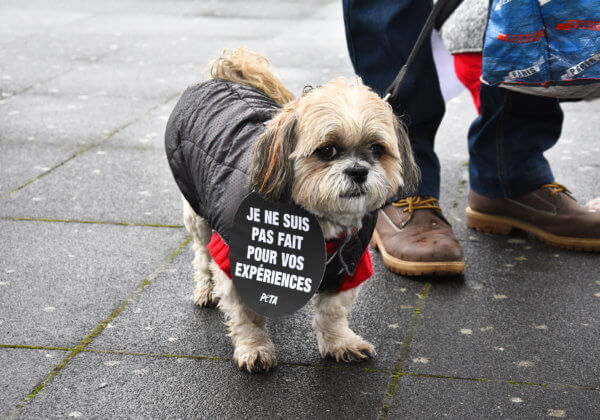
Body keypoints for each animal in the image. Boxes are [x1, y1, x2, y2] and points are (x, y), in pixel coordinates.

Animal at [164, 47, 418, 372]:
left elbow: (332, 313)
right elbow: (246, 316)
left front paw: (340, 343)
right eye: (327, 150)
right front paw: (255, 348)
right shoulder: (235, 260)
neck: (318, 226)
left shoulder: (350, 265)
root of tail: (223, 78)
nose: (359, 170)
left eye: (376, 149)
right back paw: (206, 289)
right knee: (203, 253)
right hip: (197, 211)